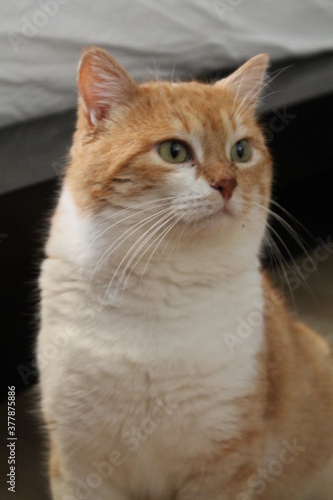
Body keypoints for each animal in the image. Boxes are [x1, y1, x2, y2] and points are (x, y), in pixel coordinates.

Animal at [36, 47, 332, 500]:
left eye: (241, 150)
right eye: (174, 152)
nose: (227, 183)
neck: (163, 287)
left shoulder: (224, 465)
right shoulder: (79, 465)